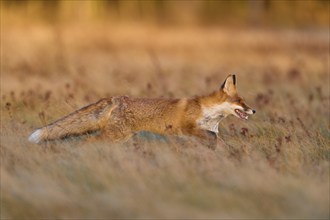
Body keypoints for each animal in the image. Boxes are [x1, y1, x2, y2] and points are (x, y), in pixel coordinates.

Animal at [28, 75, 255, 147]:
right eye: (240, 102)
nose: (253, 110)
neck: (208, 114)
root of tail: (116, 98)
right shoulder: (187, 127)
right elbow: (211, 137)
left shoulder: (209, 132)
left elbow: (219, 142)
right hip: (115, 135)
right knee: (87, 142)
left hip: (121, 137)